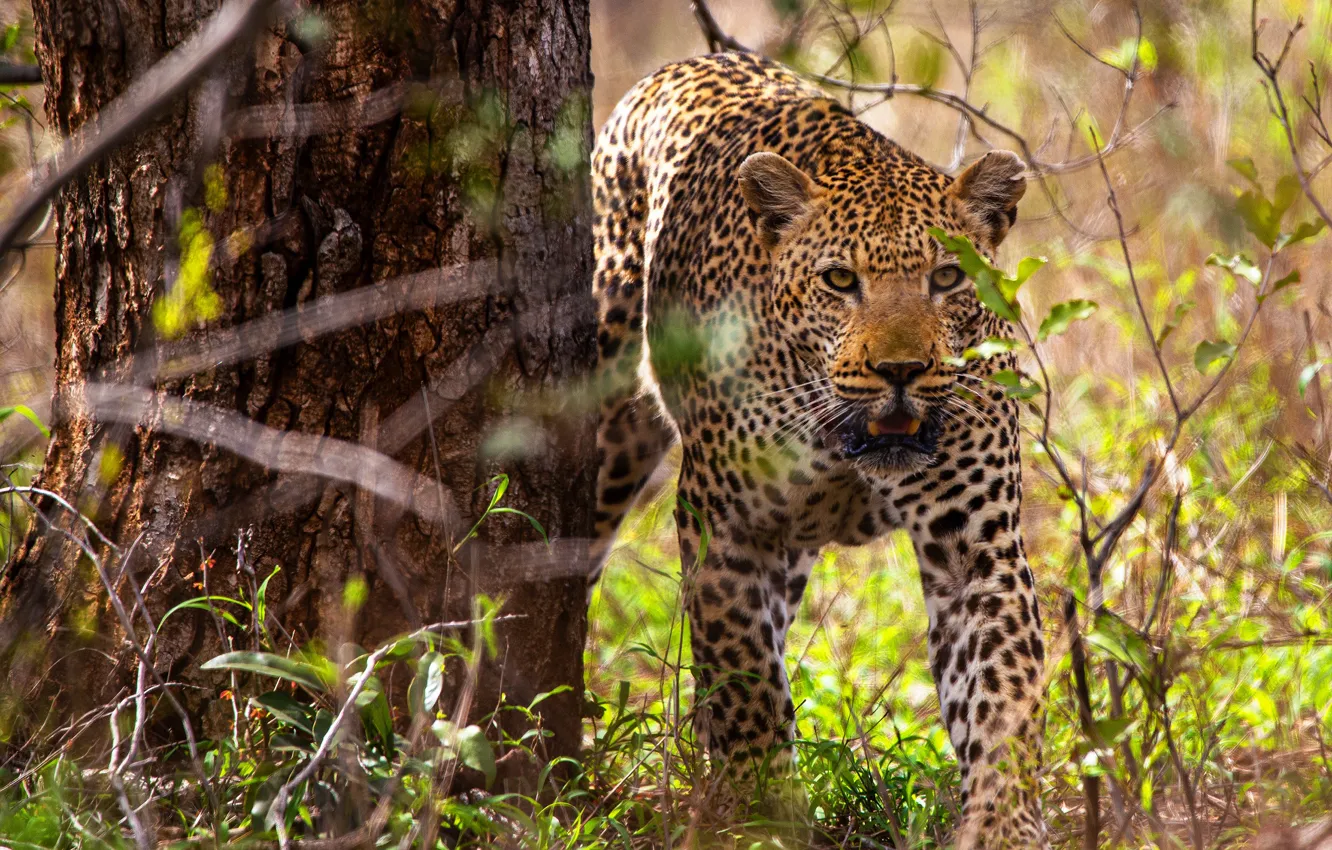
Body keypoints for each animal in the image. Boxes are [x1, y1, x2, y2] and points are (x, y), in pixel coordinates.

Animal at [589, 50, 1048, 849]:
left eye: (947, 277)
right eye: (839, 280)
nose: (901, 370)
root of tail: (687, 63)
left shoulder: (975, 544)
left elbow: (1003, 688)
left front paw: (1003, 827)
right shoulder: (728, 530)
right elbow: (747, 686)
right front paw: (763, 814)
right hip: (611, 416)